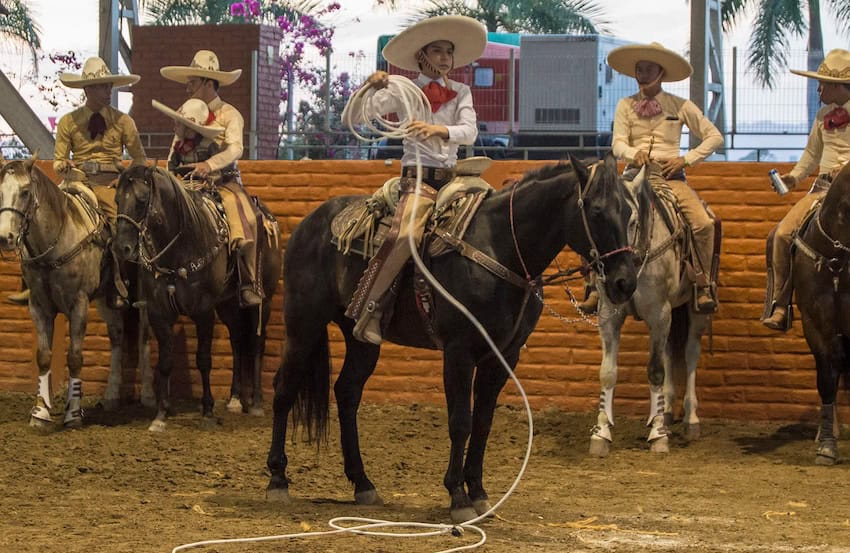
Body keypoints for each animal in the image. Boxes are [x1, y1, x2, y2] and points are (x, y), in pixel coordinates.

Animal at [0, 158, 154, 426]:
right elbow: (43, 356)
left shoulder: (78, 304)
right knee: (117, 335)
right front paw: (40, 412)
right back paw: (111, 395)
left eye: (26, 192)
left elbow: (74, 357)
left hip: (141, 295)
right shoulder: (39, 306)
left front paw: (73, 413)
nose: (5, 237)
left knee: (144, 336)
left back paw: (147, 394)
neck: (56, 240)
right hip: (106, 300)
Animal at [112, 164, 282, 432]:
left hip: (264, 300)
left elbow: (203, 359)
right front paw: (161, 415)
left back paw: (255, 402)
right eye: (117, 200)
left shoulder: (203, 311)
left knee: (257, 342)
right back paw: (235, 398)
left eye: (140, 200)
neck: (181, 245)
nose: (122, 248)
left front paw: (208, 411)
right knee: (237, 340)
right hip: (227, 304)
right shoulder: (160, 312)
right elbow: (165, 361)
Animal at [264, 154, 636, 520]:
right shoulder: (459, 351)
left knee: (347, 392)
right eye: (597, 210)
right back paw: (278, 480)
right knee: (284, 389)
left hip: (361, 339)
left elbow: (483, 422)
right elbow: (460, 422)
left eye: (630, 213)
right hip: (303, 324)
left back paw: (363, 484)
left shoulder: (503, 357)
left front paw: (479, 494)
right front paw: (458, 497)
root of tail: (310, 222)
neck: (501, 247)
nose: (625, 283)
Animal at [588, 164, 716, 458]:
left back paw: (690, 420)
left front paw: (658, 435)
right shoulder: (609, 316)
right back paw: (665, 412)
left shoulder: (659, 314)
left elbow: (655, 371)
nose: (619, 278)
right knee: (670, 352)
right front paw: (601, 433)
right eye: (597, 220)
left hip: (695, 312)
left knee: (690, 354)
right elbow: (608, 372)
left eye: (632, 220)